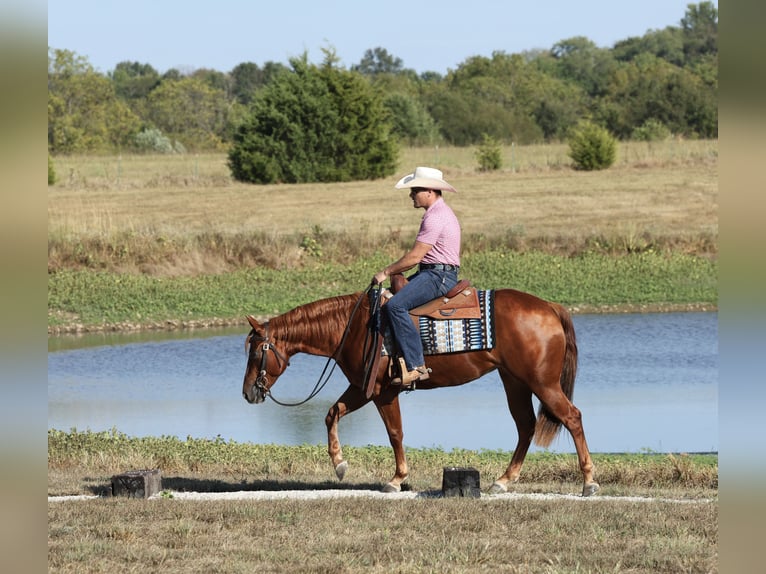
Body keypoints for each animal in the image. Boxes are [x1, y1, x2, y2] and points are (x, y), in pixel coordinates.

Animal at [242, 284, 599, 497]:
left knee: (572, 417)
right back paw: (503, 480)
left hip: (542, 383)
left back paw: (589, 481)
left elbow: (395, 433)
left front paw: (396, 479)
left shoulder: (382, 392)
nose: (248, 393)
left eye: (256, 351)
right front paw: (340, 464)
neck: (353, 327)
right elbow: (332, 413)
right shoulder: (363, 387)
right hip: (514, 381)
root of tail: (550, 307)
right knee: (525, 425)